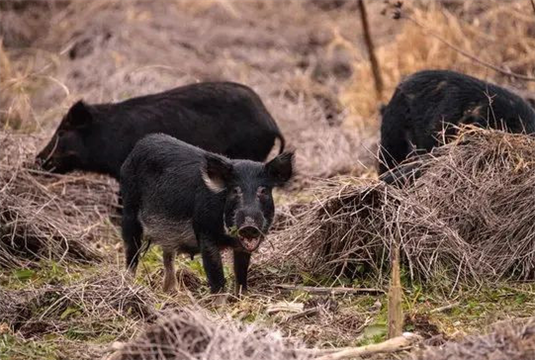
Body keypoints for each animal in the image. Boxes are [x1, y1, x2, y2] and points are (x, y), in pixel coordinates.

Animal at [120, 134, 296, 294]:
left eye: (263, 190)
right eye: (235, 190)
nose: (249, 225)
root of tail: (140, 144)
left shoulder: (241, 247)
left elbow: (241, 272)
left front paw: (242, 296)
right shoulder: (204, 232)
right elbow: (215, 273)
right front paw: (220, 303)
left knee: (168, 256)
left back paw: (170, 292)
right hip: (129, 209)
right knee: (131, 252)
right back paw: (129, 285)